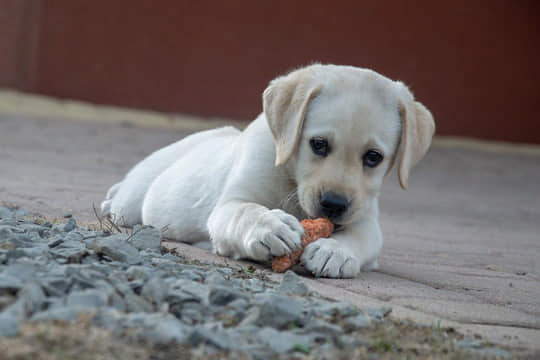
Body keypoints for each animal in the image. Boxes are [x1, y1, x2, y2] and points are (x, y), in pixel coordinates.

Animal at [101, 64, 434, 278]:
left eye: (373, 157)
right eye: (319, 144)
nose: (334, 204)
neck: (291, 178)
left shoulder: (366, 219)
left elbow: (360, 237)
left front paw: (335, 251)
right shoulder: (229, 205)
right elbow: (246, 211)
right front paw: (270, 226)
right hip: (133, 201)